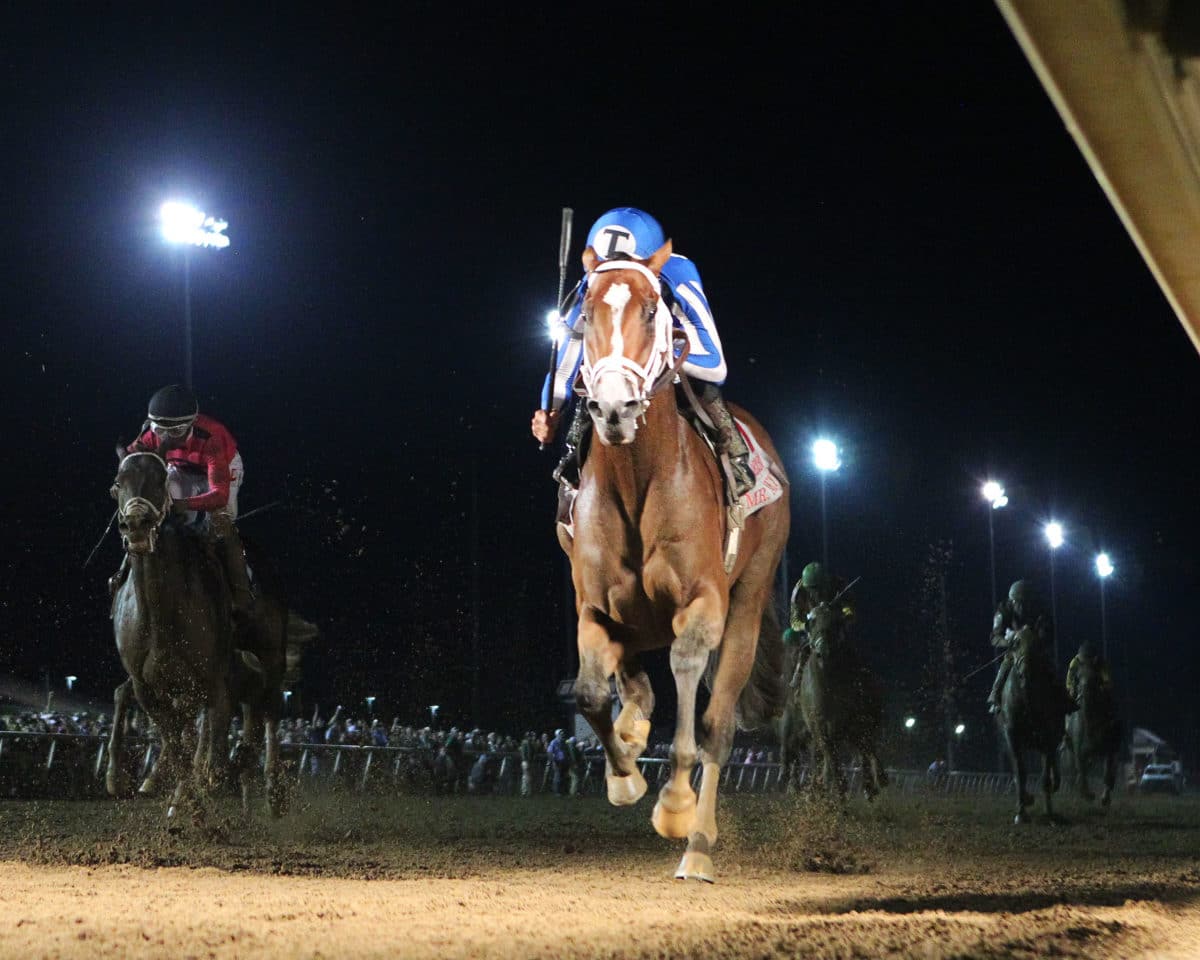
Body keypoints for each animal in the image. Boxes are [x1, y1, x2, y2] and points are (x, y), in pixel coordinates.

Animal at [566, 242, 792, 883]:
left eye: (652, 312)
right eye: (585, 314)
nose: (613, 407)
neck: (638, 477)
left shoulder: (703, 602)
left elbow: (690, 678)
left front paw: (674, 804)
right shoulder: (595, 608)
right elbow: (589, 694)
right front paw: (624, 777)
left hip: (749, 598)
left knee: (719, 722)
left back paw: (698, 845)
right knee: (631, 684)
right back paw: (632, 725)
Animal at [792, 604, 888, 796]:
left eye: (836, 621)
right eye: (811, 622)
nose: (823, 651)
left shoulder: (862, 720)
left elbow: (868, 748)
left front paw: (875, 782)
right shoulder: (821, 727)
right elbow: (831, 759)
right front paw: (835, 786)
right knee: (821, 757)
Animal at [998, 624, 1065, 820]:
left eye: (1037, 644)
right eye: (1015, 643)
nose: (1025, 670)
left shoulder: (1048, 735)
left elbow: (1045, 775)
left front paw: (1049, 813)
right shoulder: (1012, 735)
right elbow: (1020, 772)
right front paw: (1021, 811)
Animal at [1065, 657, 1118, 806]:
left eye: (1095, 678)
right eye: (1077, 678)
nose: (1083, 693)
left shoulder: (1110, 745)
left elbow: (1108, 770)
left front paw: (1105, 798)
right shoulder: (1078, 745)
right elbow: (1080, 767)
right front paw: (1087, 794)